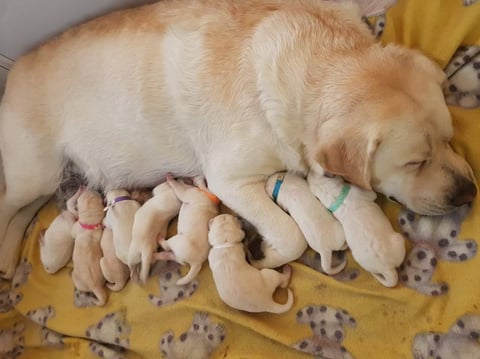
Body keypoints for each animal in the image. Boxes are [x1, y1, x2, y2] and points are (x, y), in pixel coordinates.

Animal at [0, 0, 474, 278]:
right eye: (415, 162)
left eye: (450, 140)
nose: (469, 192)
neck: (318, 61)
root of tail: (12, 71)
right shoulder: (229, 180)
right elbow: (290, 233)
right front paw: (263, 252)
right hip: (35, 173)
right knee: (9, 203)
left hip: (43, 184)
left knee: (21, 214)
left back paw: (8, 257)